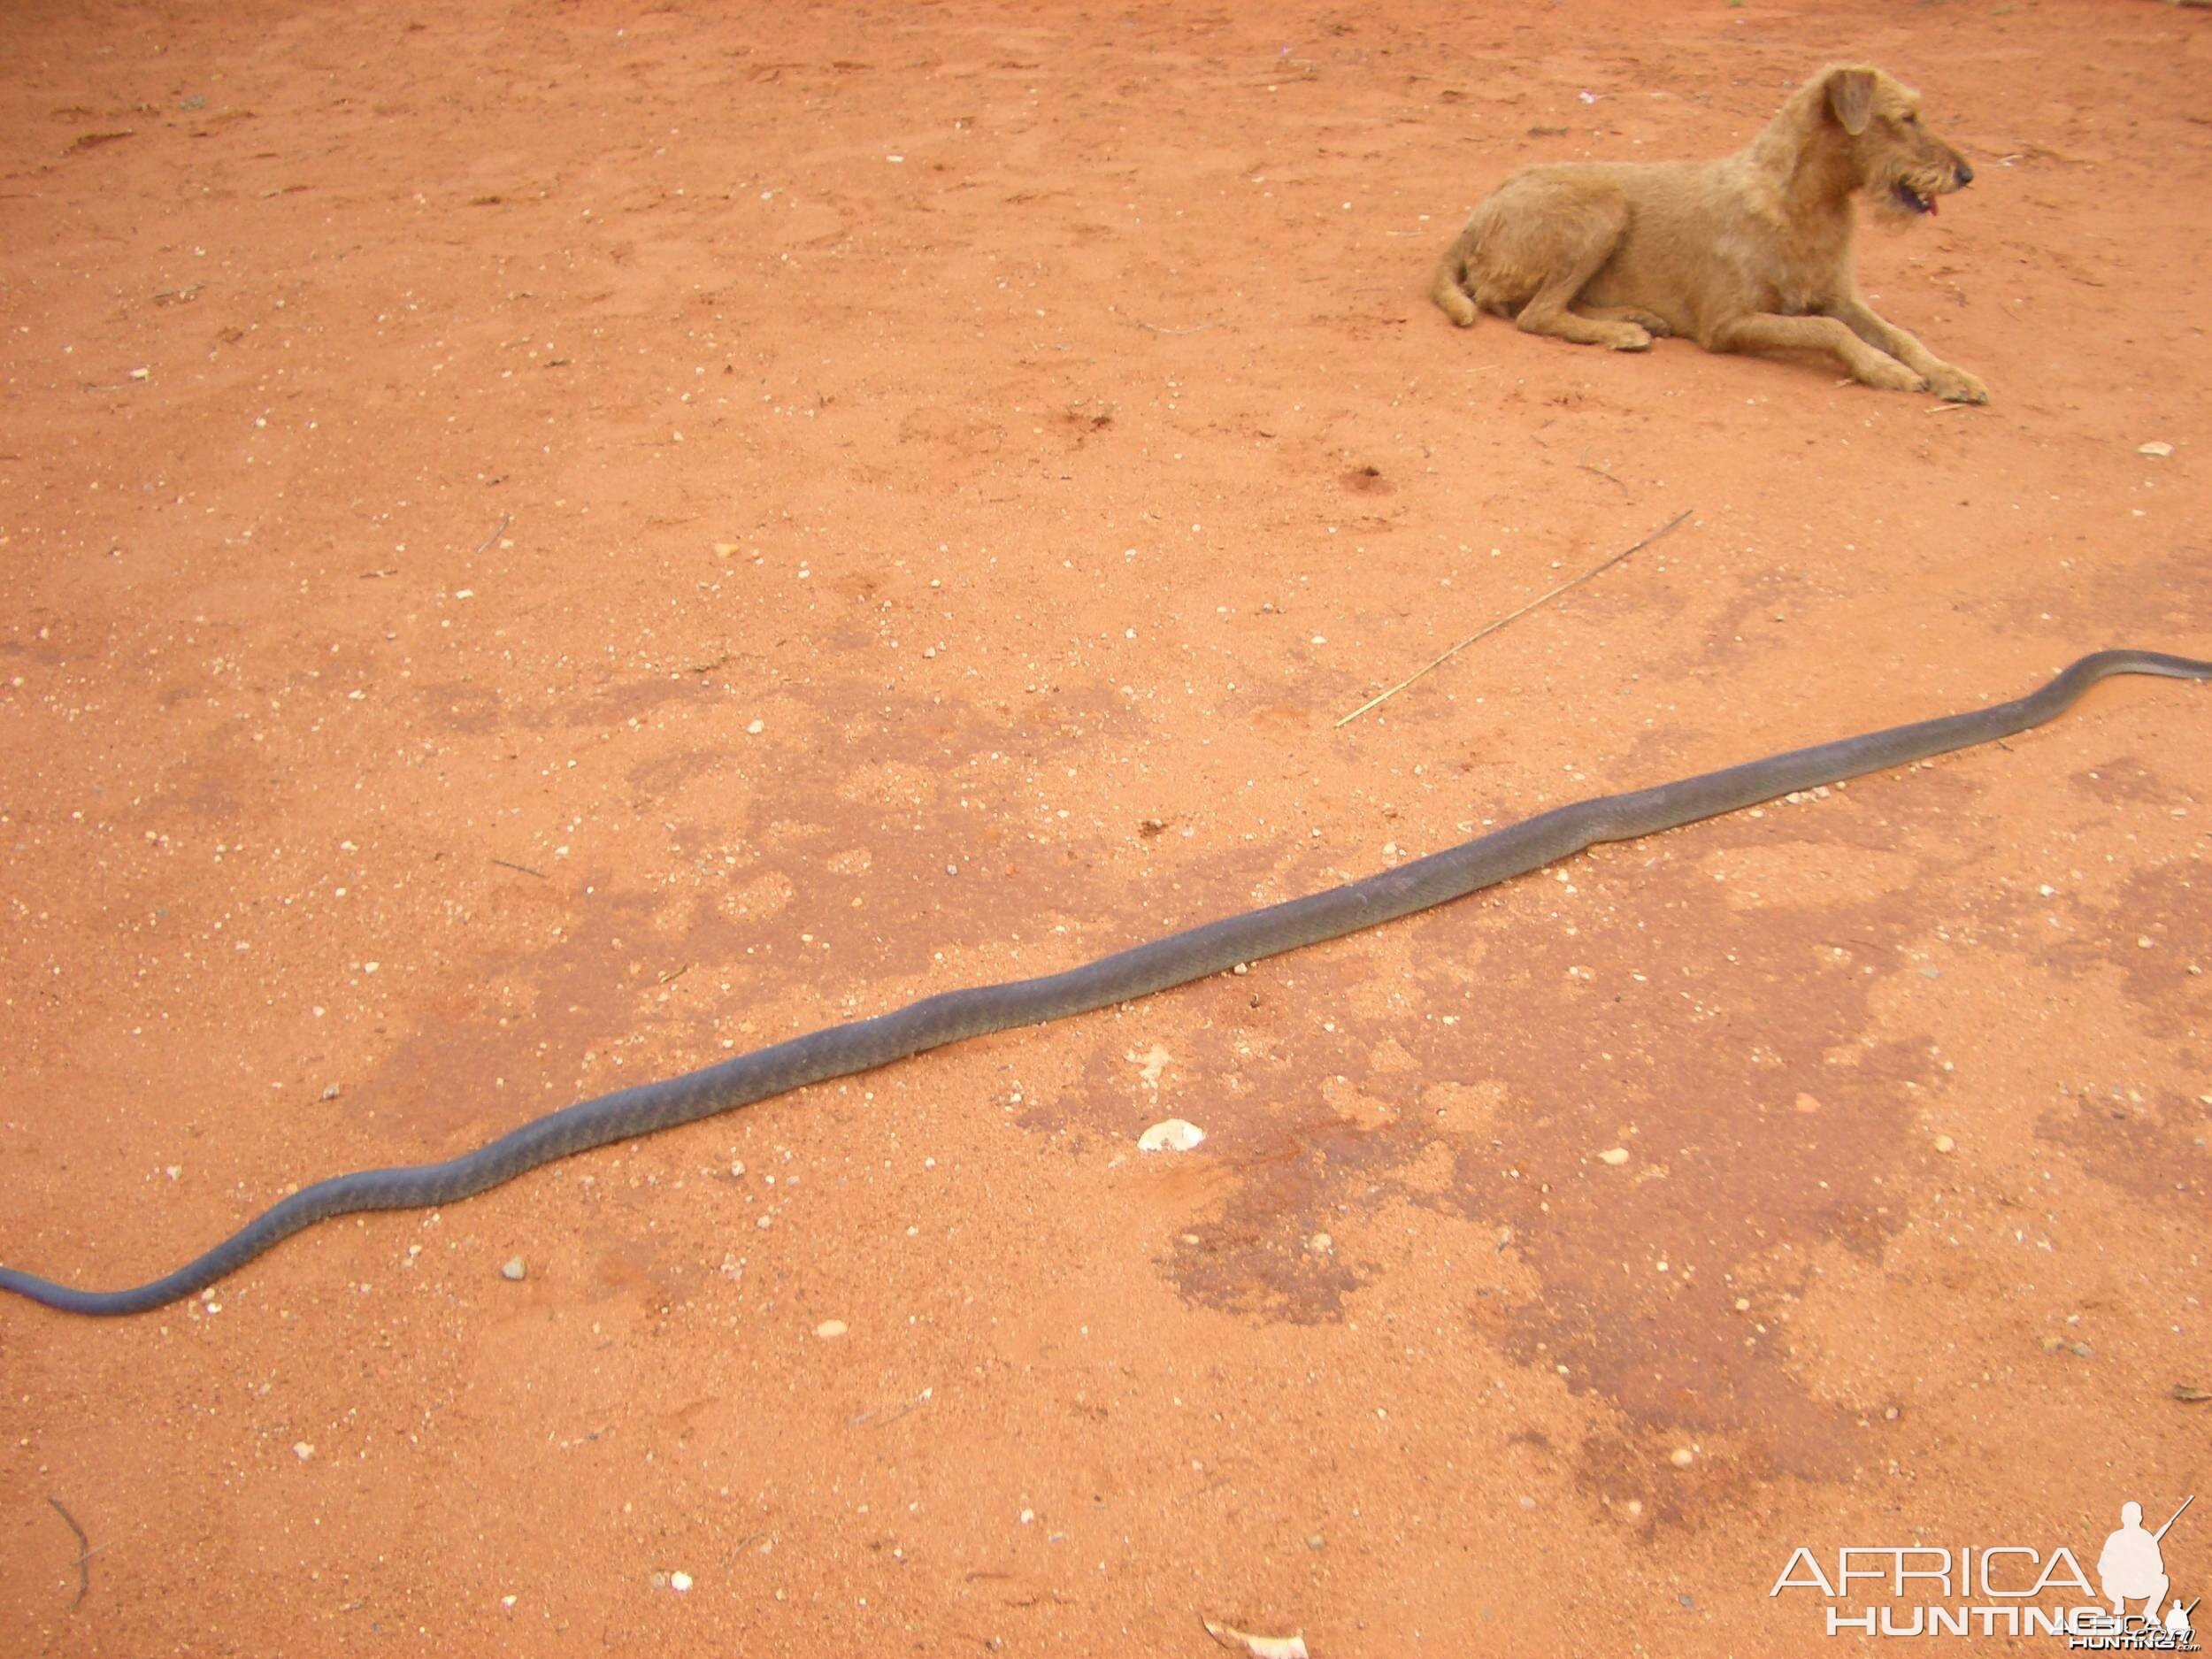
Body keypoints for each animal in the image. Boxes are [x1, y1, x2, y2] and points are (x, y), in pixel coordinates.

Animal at [1425, 65, 2000, 407]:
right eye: (1906, 118)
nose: (1969, 175)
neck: (1803, 204)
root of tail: (1476, 216)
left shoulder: (1837, 295)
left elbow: (1899, 334)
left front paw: (1950, 374)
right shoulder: (1727, 324)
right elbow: (1826, 330)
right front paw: (1881, 369)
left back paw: (1634, 317)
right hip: (1605, 203)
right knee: (1534, 314)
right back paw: (1622, 332)